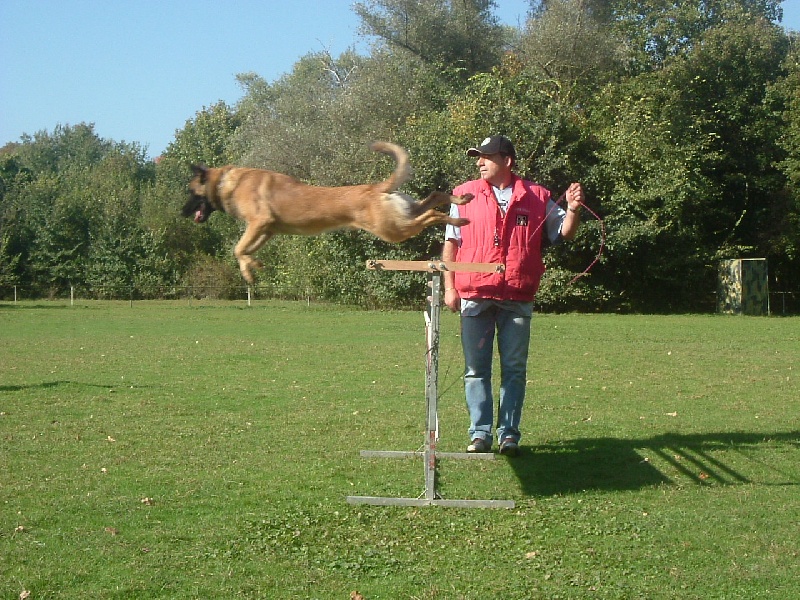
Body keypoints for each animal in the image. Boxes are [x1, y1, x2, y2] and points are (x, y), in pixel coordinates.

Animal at [181, 141, 476, 284]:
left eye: (190, 192)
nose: (182, 213)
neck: (225, 182)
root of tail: (377, 187)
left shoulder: (258, 222)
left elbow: (237, 248)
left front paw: (248, 270)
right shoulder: (268, 229)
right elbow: (244, 251)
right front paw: (252, 267)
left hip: (393, 229)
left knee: (432, 216)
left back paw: (458, 217)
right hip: (403, 214)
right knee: (435, 196)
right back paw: (461, 199)